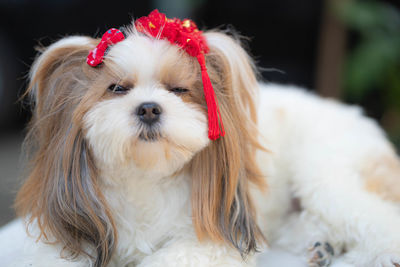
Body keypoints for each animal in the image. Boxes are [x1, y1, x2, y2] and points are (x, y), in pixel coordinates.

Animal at [5, 8, 400, 267]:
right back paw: (322, 244)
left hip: (324, 171)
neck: (145, 178)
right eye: (117, 89)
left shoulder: (210, 243)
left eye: (179, 90)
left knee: (374, 217)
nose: (149, 108)